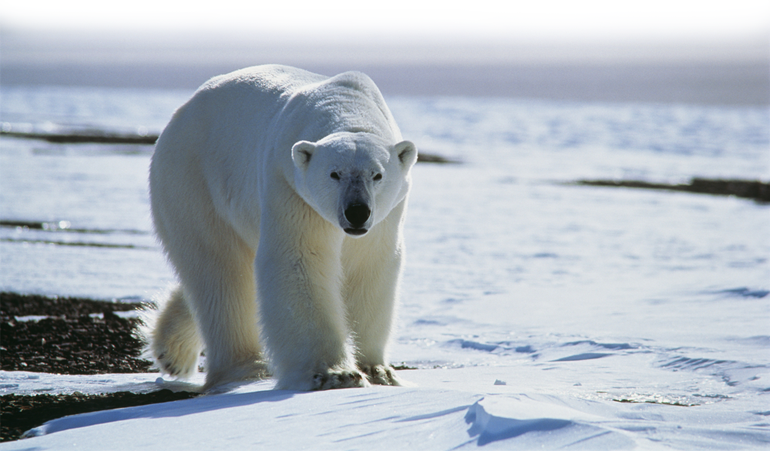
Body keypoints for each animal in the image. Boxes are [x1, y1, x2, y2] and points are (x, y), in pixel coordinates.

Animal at [146, 64, 417, 391]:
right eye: (334, 174)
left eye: (377, 175)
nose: (357, 212)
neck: (346, 105)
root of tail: (181, 112)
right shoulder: (289, 186)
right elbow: (299, 261)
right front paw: (335, 374)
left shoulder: (385, 217)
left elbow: (369, 266)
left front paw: (377, 370)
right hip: (193, 180)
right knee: (219, 271)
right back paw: (245, 367)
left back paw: (171, 350)